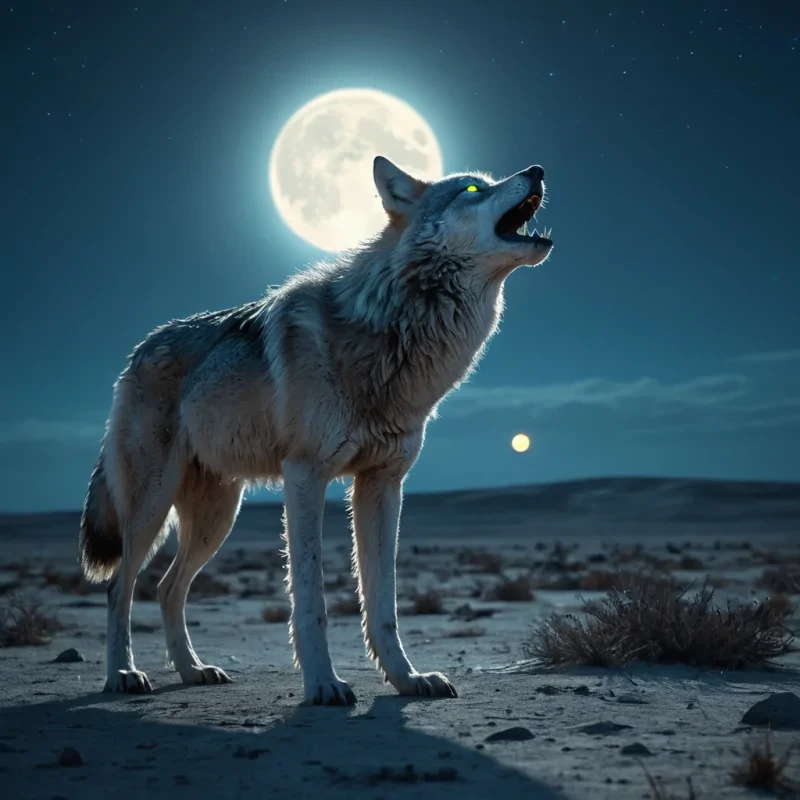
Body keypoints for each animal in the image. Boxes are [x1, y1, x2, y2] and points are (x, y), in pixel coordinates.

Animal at [79, 155, 553, 704]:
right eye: (474, 189)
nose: (537, 169)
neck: (389, 330)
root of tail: (136, 354)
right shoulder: (305, 475)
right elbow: (311, 600)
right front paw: (324, 683)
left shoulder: (383, 484)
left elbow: (384, 605)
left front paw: (407, 678)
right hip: (153, 507)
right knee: (119, 587)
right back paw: (122, 674)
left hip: (218, 518)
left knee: (166, 588)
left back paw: (193, 670)